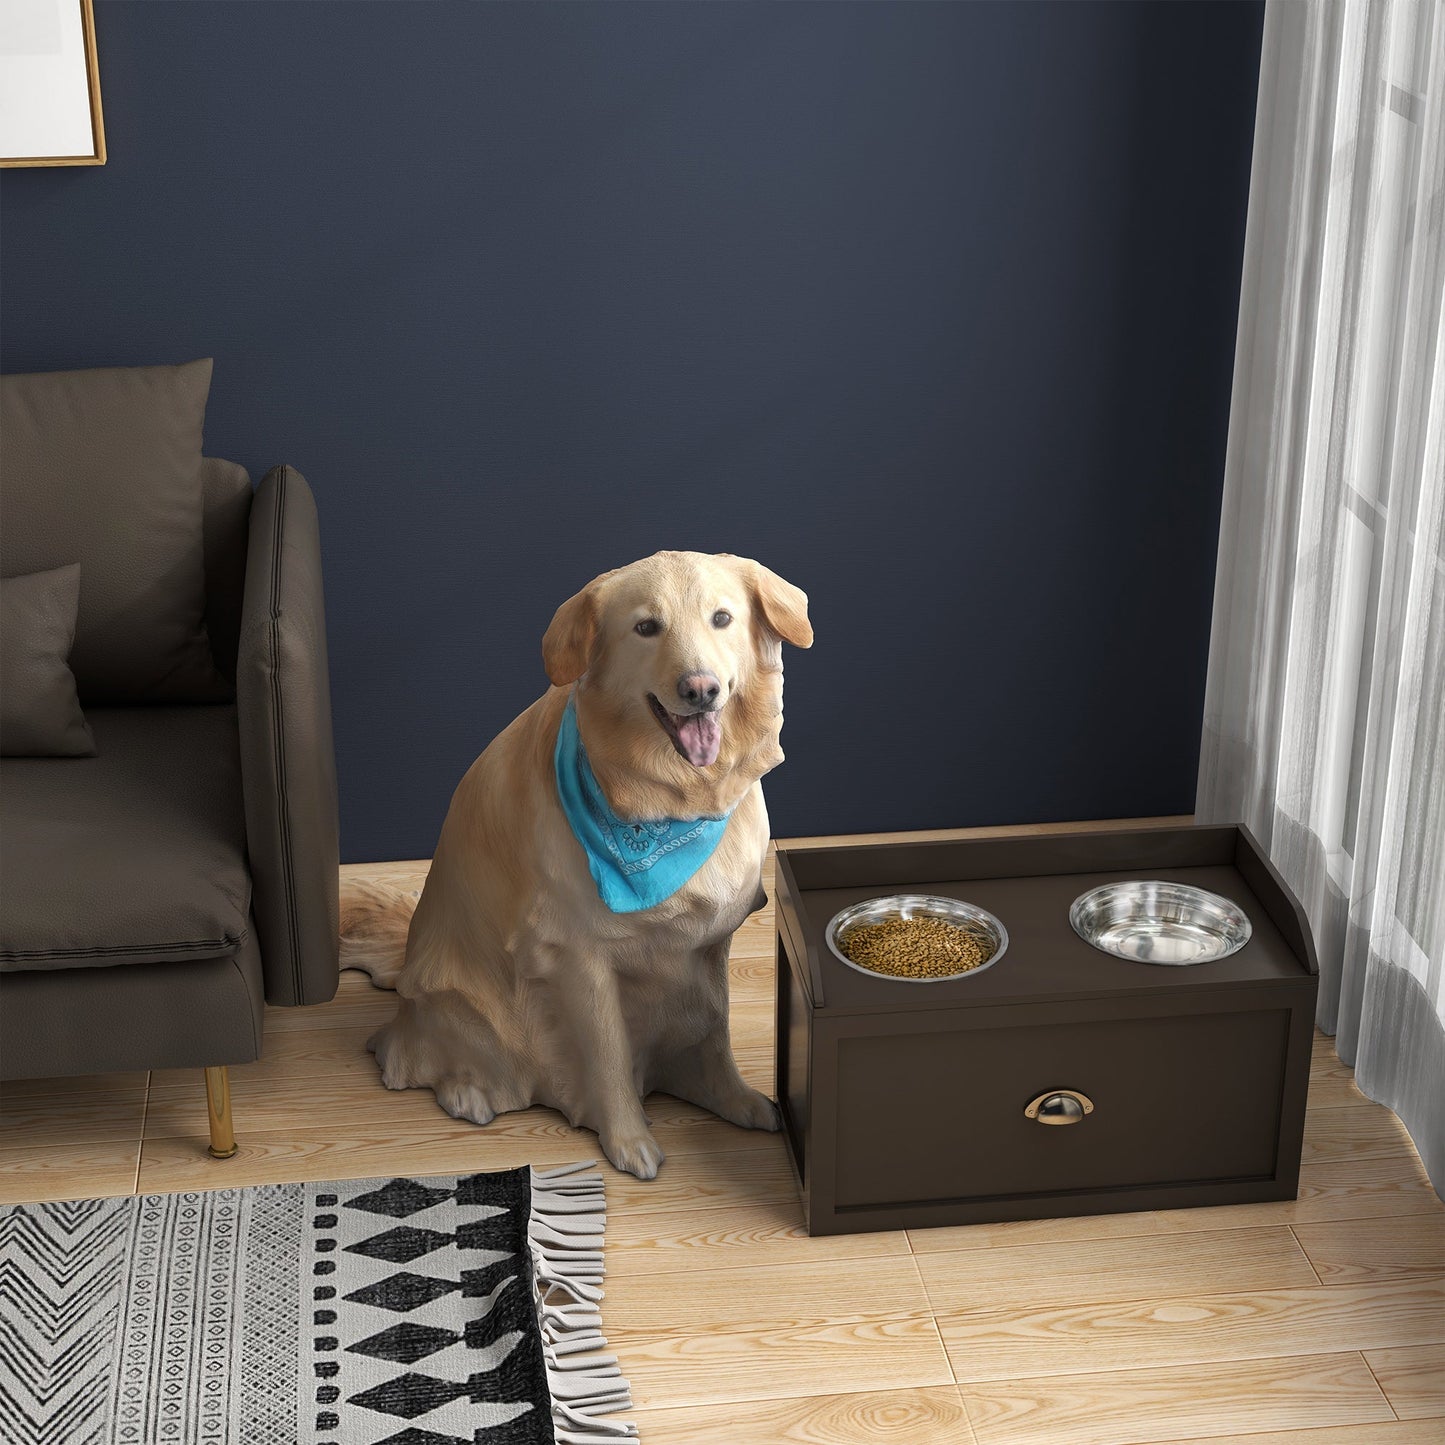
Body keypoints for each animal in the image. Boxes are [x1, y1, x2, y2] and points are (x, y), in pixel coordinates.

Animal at [341, 549, 814, 1173]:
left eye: (722, 619)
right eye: (646, 627)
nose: (701, 689)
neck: (668, 804)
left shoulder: (710, 941)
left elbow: (714, 1028)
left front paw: (730, 1098)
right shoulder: (576, 954)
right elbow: (608, 1056)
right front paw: (629, 1142)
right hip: (471, 1010)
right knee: (409, 1055)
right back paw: (468, 1093)